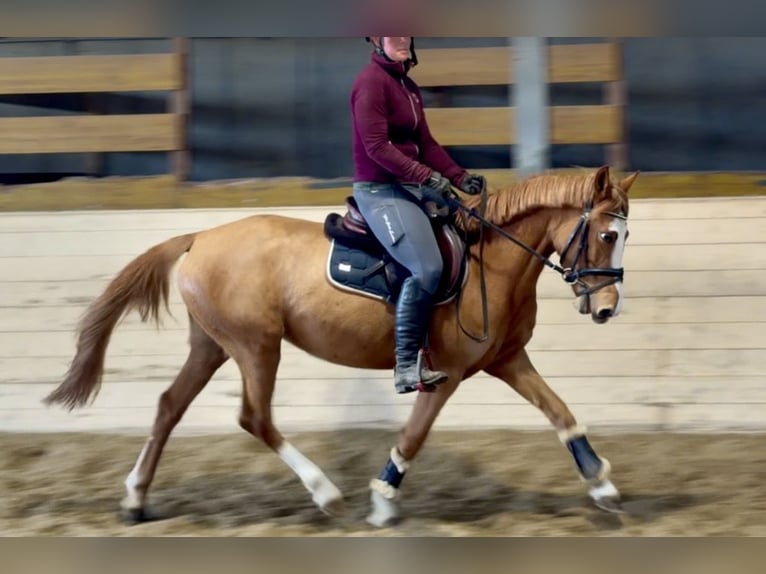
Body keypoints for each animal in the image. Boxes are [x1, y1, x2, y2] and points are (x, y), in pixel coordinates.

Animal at [43, 165, 639, 527]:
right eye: (608, 234)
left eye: (624, 235)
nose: (607, 307)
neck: (488, 261)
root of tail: (199, 238)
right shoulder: (444, 373)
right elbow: (413, 436)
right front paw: (383, 501)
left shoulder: (508, 361)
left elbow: (562, 414)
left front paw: (602, 486)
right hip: (257, 346)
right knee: (254, 417)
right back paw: (325, 492)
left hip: (212, 345)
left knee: (170, 406)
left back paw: (135, 498)